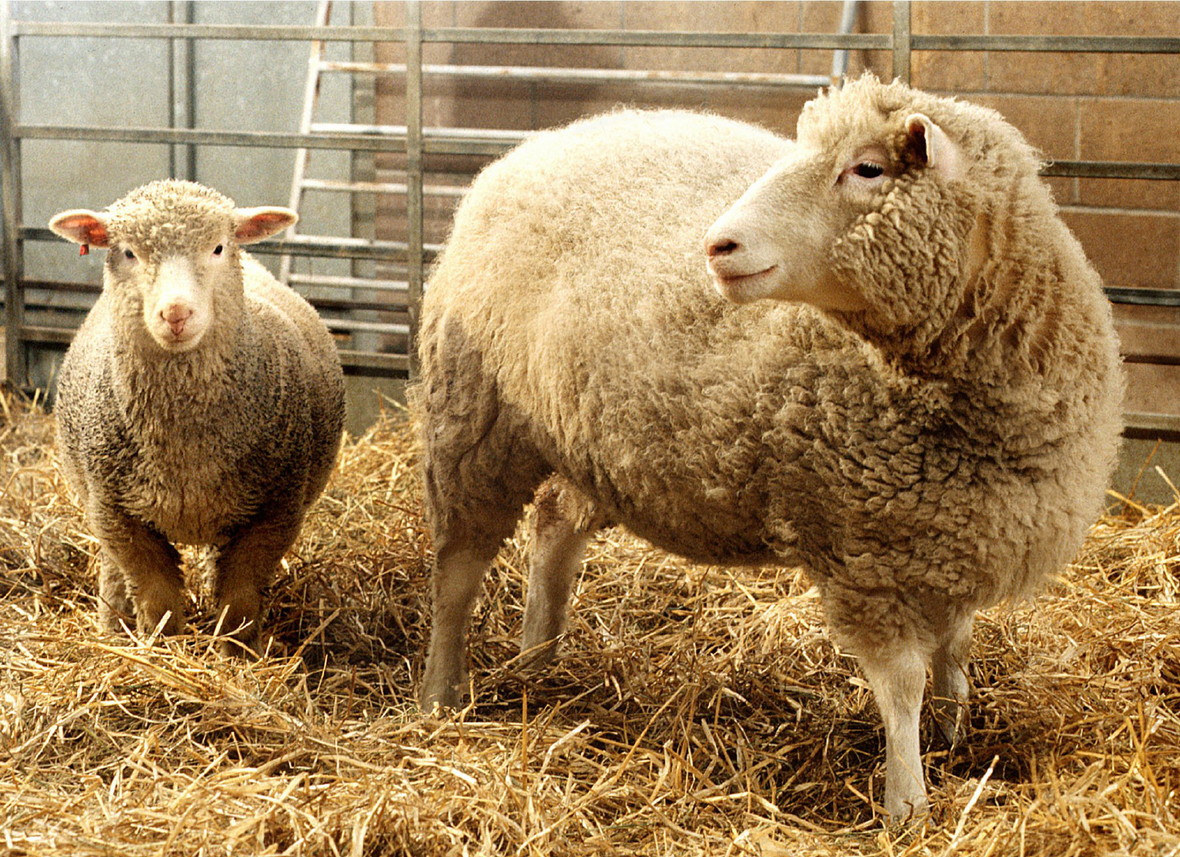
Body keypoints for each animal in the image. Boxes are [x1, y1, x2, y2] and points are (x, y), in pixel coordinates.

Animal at [51, 178, 344, 656]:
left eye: (219, 247)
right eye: (128, 252)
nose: (176, 313)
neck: (185, 447)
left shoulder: (274, 512)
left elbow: (240, 594)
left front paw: (238, 655)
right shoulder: (118, 513)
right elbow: (156, 595)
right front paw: (164, 649)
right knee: (113, 570)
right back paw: (112, 628)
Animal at [415, 75, 1123, 826]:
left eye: (867, 168)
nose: (717, 245)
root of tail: (530, 148)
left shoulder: (956, 536)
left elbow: (956, 650)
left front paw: (954, 733)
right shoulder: (863, 554)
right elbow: (901, 682)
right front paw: (908, 802)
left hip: (587, 435)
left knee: (554, 527)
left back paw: (539, 658)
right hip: (475, 420)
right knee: (458, 569)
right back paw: (440, 692)